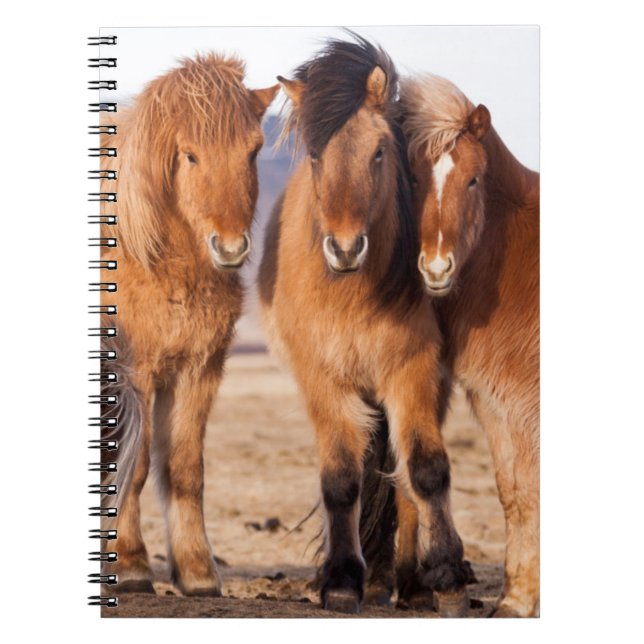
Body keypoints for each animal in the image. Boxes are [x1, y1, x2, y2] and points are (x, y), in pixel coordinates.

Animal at [99, 53, 278, 597]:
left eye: (254, 150)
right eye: (190, 155)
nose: (230, 246)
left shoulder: (199, 370)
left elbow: (184, 468)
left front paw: (197, 571)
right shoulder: (136, 371)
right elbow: (133, 464)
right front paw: (131, 564)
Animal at [258, 36, 471, 615]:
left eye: (379, 152)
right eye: (314, 155)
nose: (346, 248)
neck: (351, 296)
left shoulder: (413, 371)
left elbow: (425, 472)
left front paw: (447, 574)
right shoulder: (323, 379)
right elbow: (340, 480)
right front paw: (340, 580)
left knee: (403, 480)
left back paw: (409, 582)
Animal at [397, 74, 540, 617]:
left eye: (474, 180)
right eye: (414, 180)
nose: (437, 269)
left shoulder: (526, 403)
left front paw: (522, 598)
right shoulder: (495, 402)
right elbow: (514, 493)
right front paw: (516, 596)